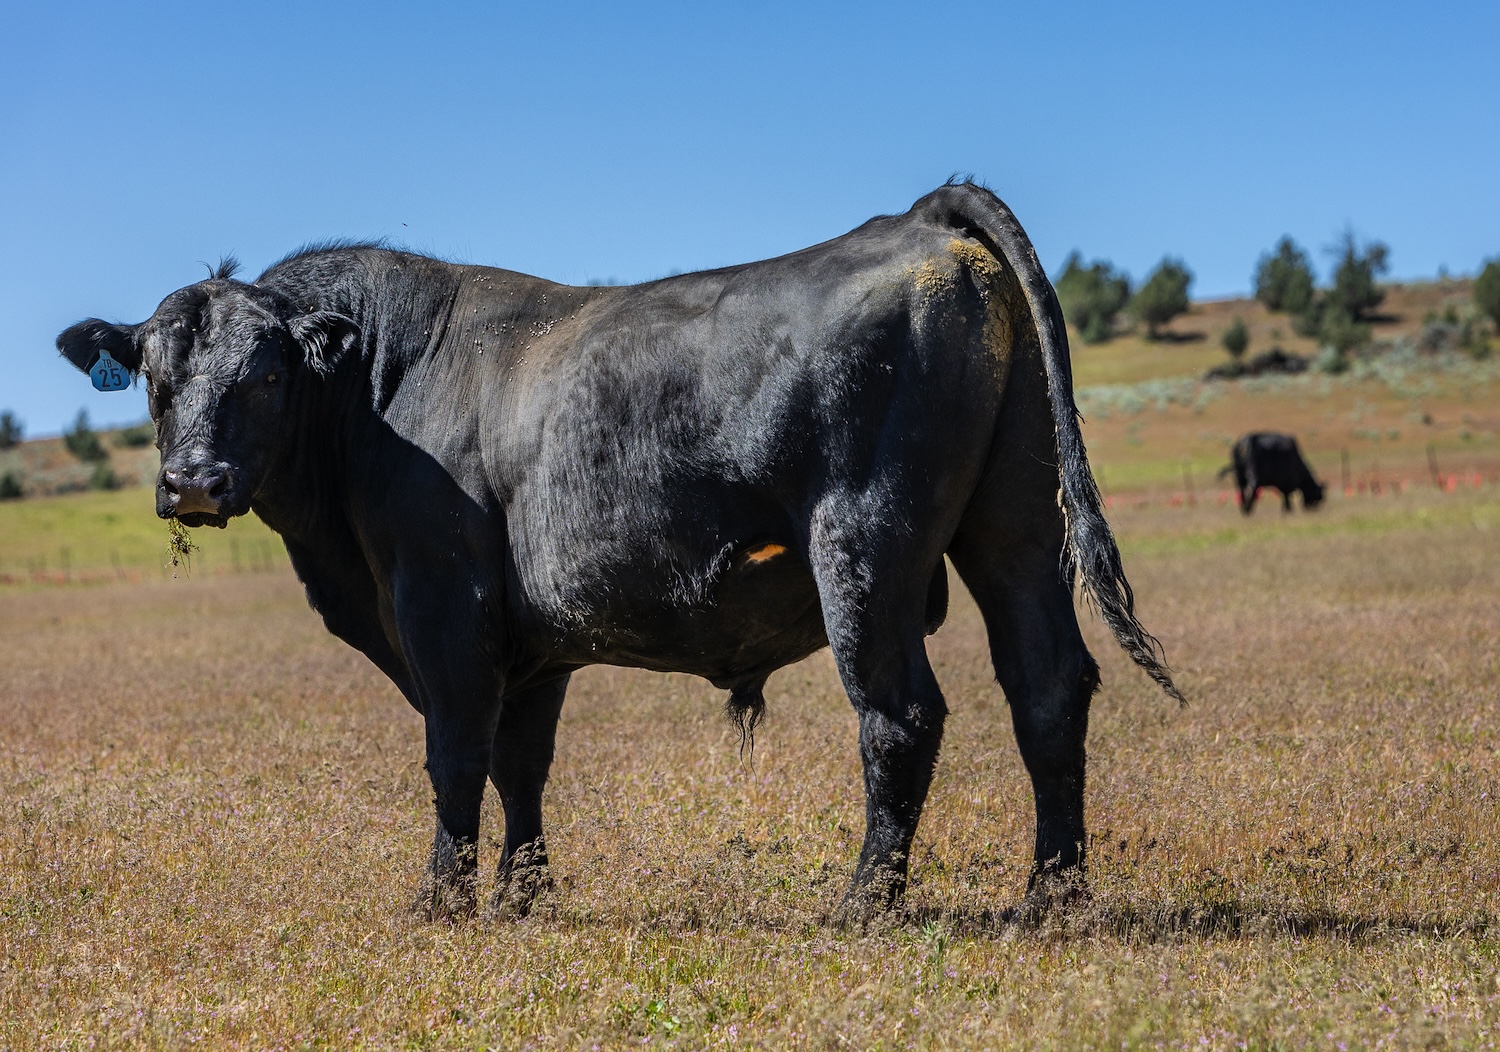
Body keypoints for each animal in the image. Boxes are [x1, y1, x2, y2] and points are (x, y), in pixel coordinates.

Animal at [58, 184, 1182, 924]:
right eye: (155, 375)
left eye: (264, 374)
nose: (193, 482)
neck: (378, 385)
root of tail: (919, 218)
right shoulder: (533, 639)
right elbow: (521, 760)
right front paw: (524, 893)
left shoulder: (441, 600)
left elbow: (455, 749)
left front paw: (442, 899)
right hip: (1016, 532)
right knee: (1047, 689)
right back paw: (1053, 894)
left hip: (867, 547)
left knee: (900, 714)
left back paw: (864, 899)